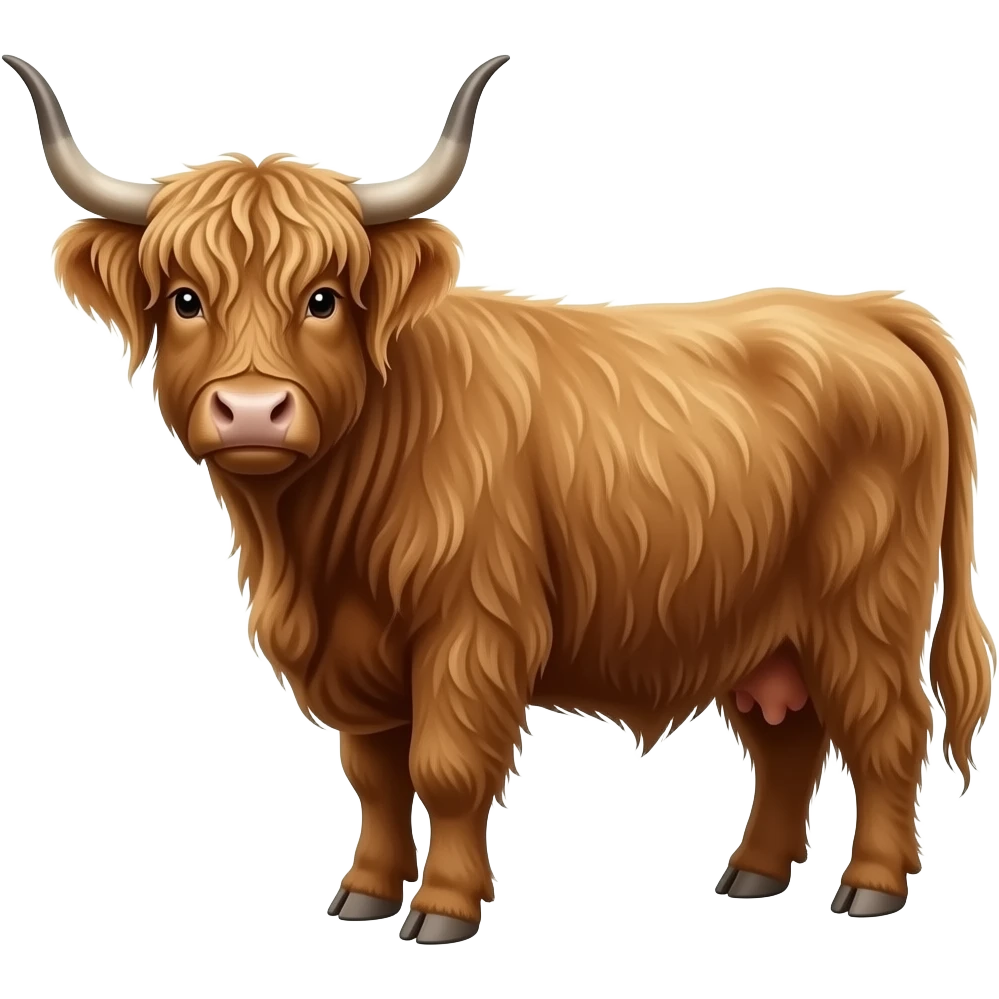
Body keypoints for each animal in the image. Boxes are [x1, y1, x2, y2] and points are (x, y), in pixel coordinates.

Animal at [5, 53, 994, 943]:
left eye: (324, 298)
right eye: (183, 299)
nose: (252, 408)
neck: (316, 547)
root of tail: (863, 309)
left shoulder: (470, 627)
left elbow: (443, 766)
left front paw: (443, 908)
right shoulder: (358, 655)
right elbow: (375, 774)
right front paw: (364, 894)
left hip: (863, 608)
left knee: (887, 729)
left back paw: (870, 887)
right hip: (764, 628)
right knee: (789, 742)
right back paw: (750, 874)